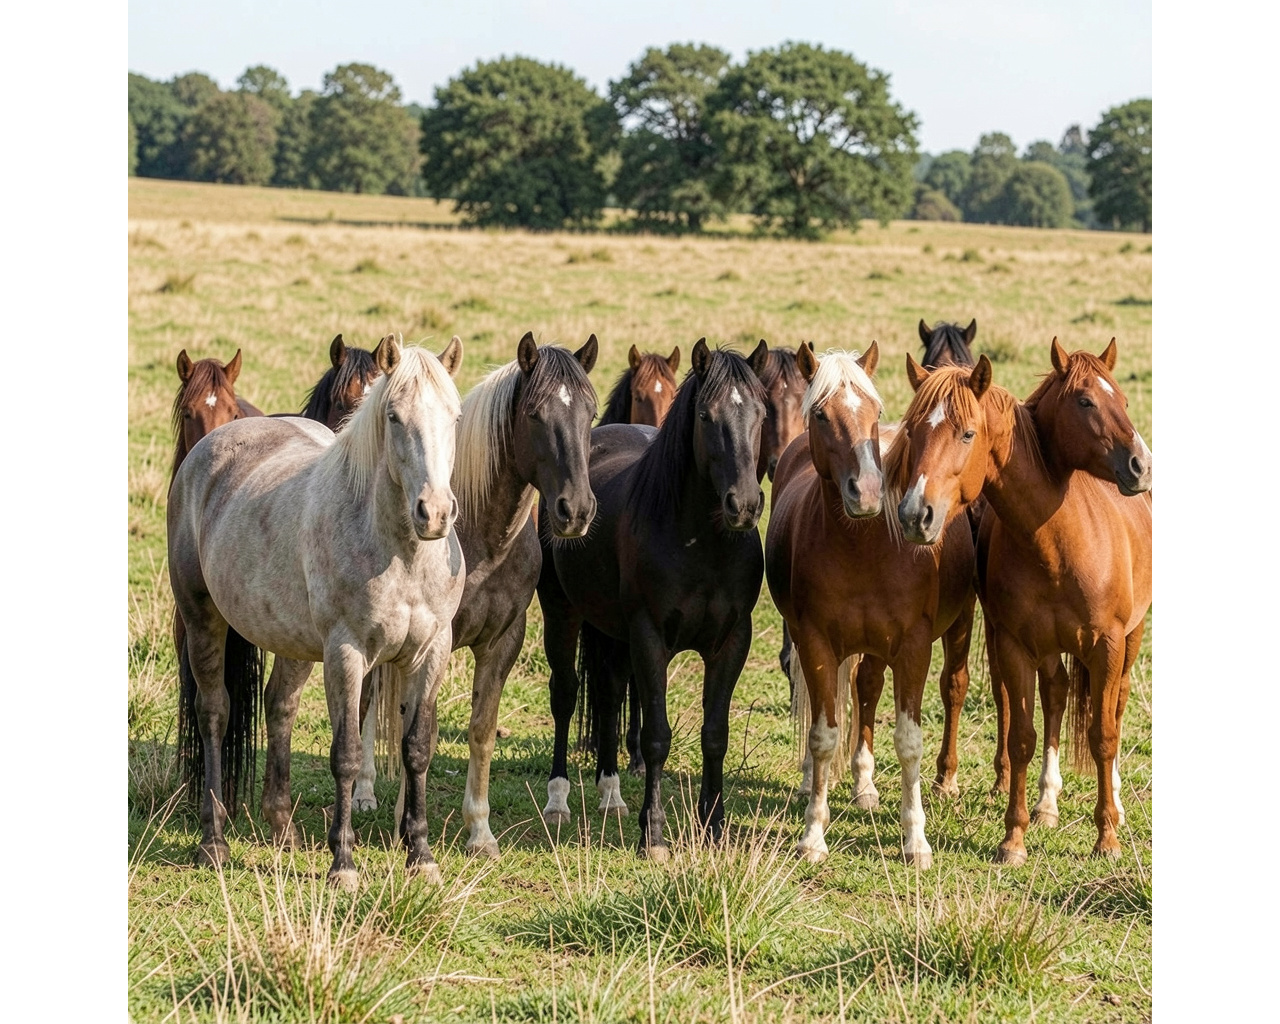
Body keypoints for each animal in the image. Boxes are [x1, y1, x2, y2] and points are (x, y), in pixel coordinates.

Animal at [169, 338, 466, 888]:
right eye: (393, 416)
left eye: (454, 416)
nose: (434, 513)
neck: (400, 553)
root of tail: (215, 441)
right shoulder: (346, 653)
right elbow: (346, 754)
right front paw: (343, 864)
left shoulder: (431, 650)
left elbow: (418, 748)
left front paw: (421, 856)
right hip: (203, 620)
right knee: (214, 713)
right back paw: (213, 841)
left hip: (292, 641)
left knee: (279, 706)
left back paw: (283, 830)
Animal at [537, 340, 770, 860]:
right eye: (706, 415)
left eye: (762, 413)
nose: (744, 505)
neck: (701, 543)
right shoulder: (649, 637)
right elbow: (657, 736)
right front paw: (655, 835)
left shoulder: (732, 642)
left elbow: (715, 735)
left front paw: (713, 827)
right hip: (563, 614)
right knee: (566, 694)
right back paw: (559, 799)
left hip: (610, 632)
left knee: (608, 693)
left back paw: (610, 791)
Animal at [766, 343, 976, 867]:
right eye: (820, 415)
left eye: (876, 412)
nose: (866, 492)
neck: (863, 546)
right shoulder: (815, 641)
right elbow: (823, 734)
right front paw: (813, 835)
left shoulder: (913, 647)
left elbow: (908, 740)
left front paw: (915, 839)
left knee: (881, 689)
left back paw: (868, 786)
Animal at [893, 339, 1151, 864]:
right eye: (912, 431)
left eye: (967, 433)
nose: (1141, 464)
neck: (1059, 542)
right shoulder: (1015, 646)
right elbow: (1022, 738)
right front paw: (1014, 838)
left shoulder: (1108, 645)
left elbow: (1103, 736)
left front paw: (1107, 837)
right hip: (1048, 650)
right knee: (1055, 698)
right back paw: (1047, 803)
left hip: (1131, 642)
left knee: (1114, 708)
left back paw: (1114, 803)